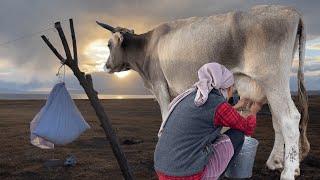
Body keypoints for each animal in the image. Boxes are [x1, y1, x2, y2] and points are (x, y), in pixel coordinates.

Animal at [96, 4, 308, 180]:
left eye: (108, 45)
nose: (105, 66)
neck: (147, 48)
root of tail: (291, 11)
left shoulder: (159, 85)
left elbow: (165, 116)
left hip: (272, 79)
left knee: (289, 118)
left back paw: (288, 172)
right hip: (270, 85)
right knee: (278, 120)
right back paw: (277, 162)